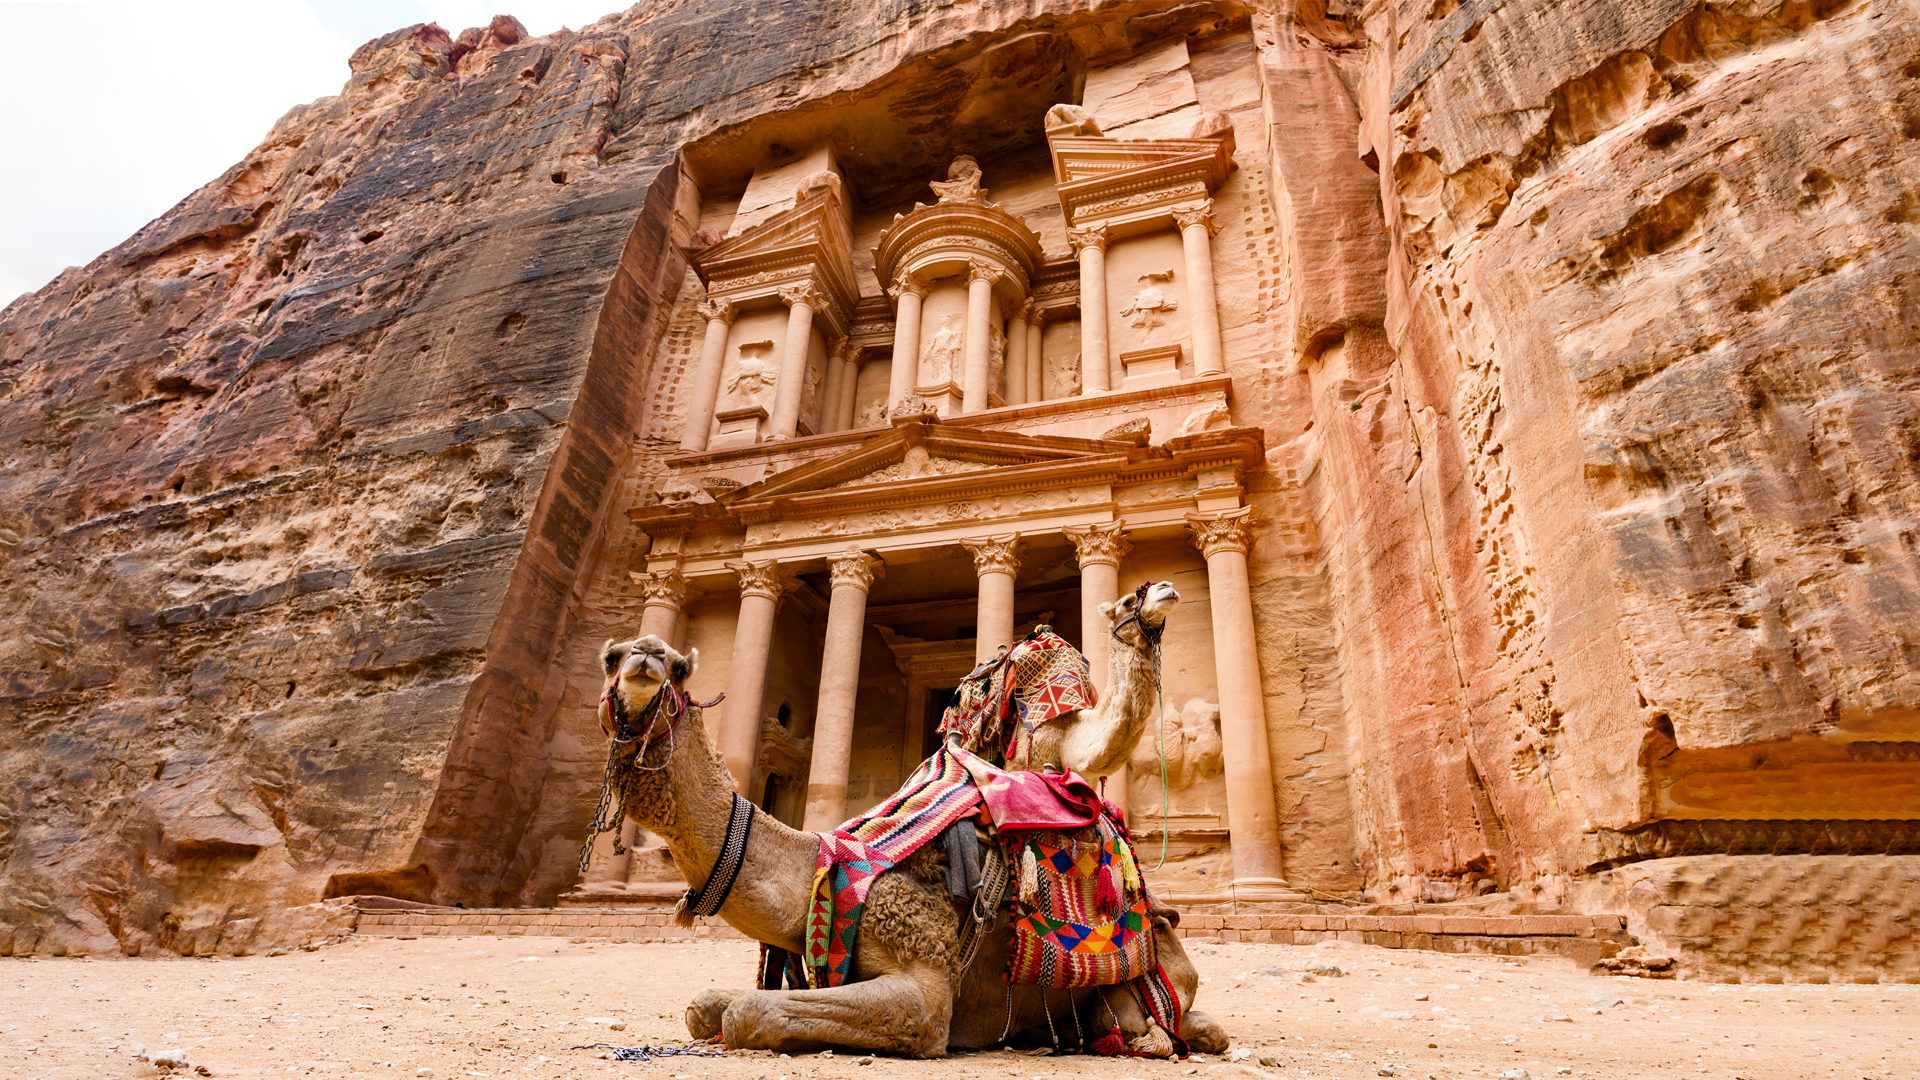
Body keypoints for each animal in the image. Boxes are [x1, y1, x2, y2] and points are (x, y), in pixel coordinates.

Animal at [591, 580, 1228, 1053]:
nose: (647, 655)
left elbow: (749, 1011)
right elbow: (706, 1007)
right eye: (610, 656)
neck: (825, 867)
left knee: (1179, 1021)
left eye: (680, 667)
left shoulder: (925, 987)